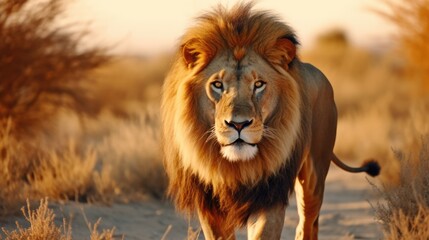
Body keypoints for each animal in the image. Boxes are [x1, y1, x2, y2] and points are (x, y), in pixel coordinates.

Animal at [160, 2, 378, 240]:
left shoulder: (269, 194)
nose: (238, 124)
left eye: (258, 84)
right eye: (217, 85)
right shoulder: (209, 203)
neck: (236, 167)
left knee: (308, 223)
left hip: (314, 176)